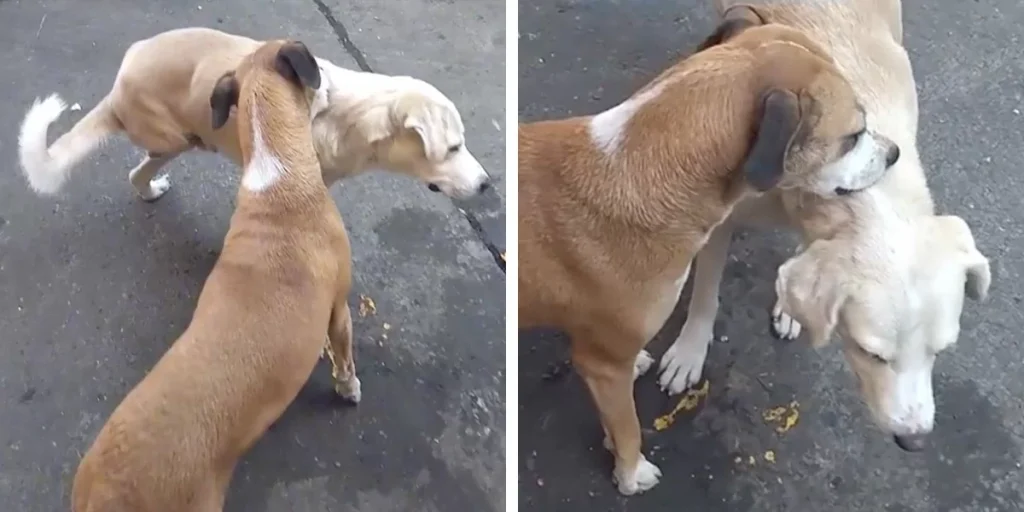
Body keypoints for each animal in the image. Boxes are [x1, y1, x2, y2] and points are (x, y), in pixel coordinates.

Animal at [520, 24, 897, 495]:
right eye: (852, 137)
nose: (895, 153)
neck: (639, 165)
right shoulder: (603, 364)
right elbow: (628, 427)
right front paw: (632, 473)